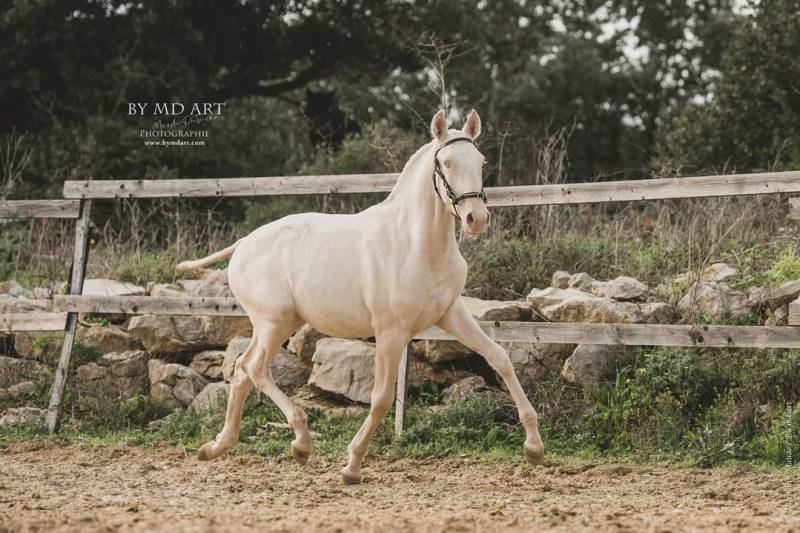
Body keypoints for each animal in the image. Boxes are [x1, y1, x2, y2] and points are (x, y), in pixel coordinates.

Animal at [179, 111, 544, 482]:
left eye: (481, 162)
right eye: (446, 163)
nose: (476, 219)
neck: (417, 246)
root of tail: (244, 243)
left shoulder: (450, 314)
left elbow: (499, 357)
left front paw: (534, 449)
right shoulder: (391, 332)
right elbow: (381, 398)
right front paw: (352, 465)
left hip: (277, 324)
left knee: (242, 370)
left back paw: (217, 446)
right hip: (273, 323)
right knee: (254, 368)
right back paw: (300, 442)